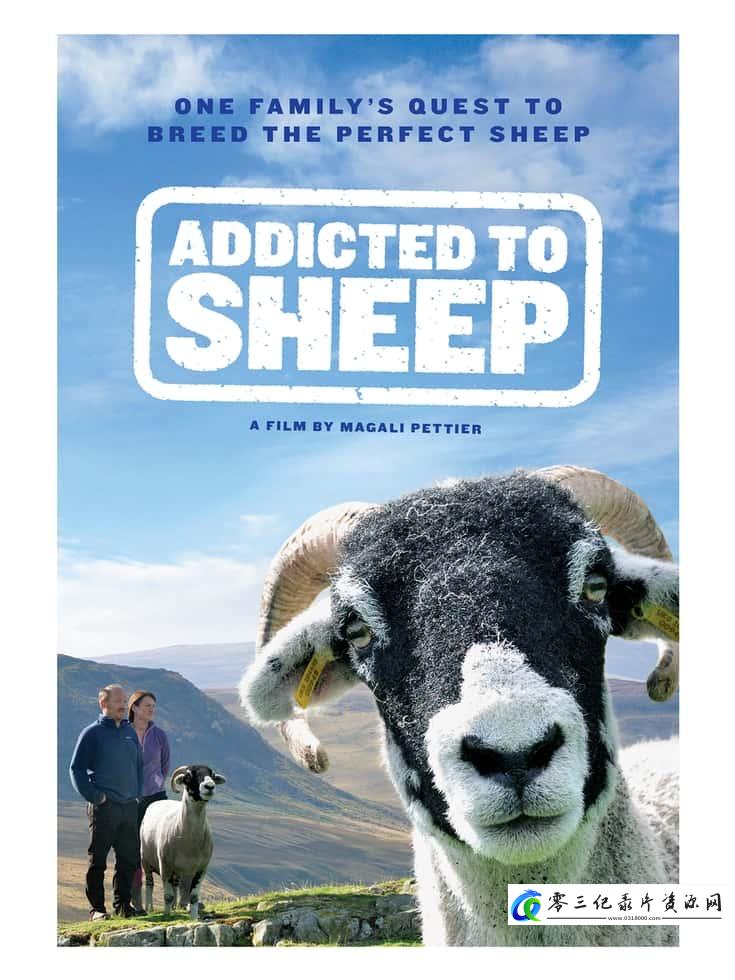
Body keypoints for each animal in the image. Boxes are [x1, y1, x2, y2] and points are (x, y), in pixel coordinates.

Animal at [140, 763, 225, 919]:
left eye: (212, 775)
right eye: (188, 776)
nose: (210, 786)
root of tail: (160, 801)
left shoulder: (201, 869)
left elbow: (194, 897)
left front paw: (194, 918)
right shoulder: (165, 866)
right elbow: (167, 896)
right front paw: (167, 916)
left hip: (177, 872)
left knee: (175, 886)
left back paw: (174, 908)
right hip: (145, 861)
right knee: (149, 884)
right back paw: (149, 907)